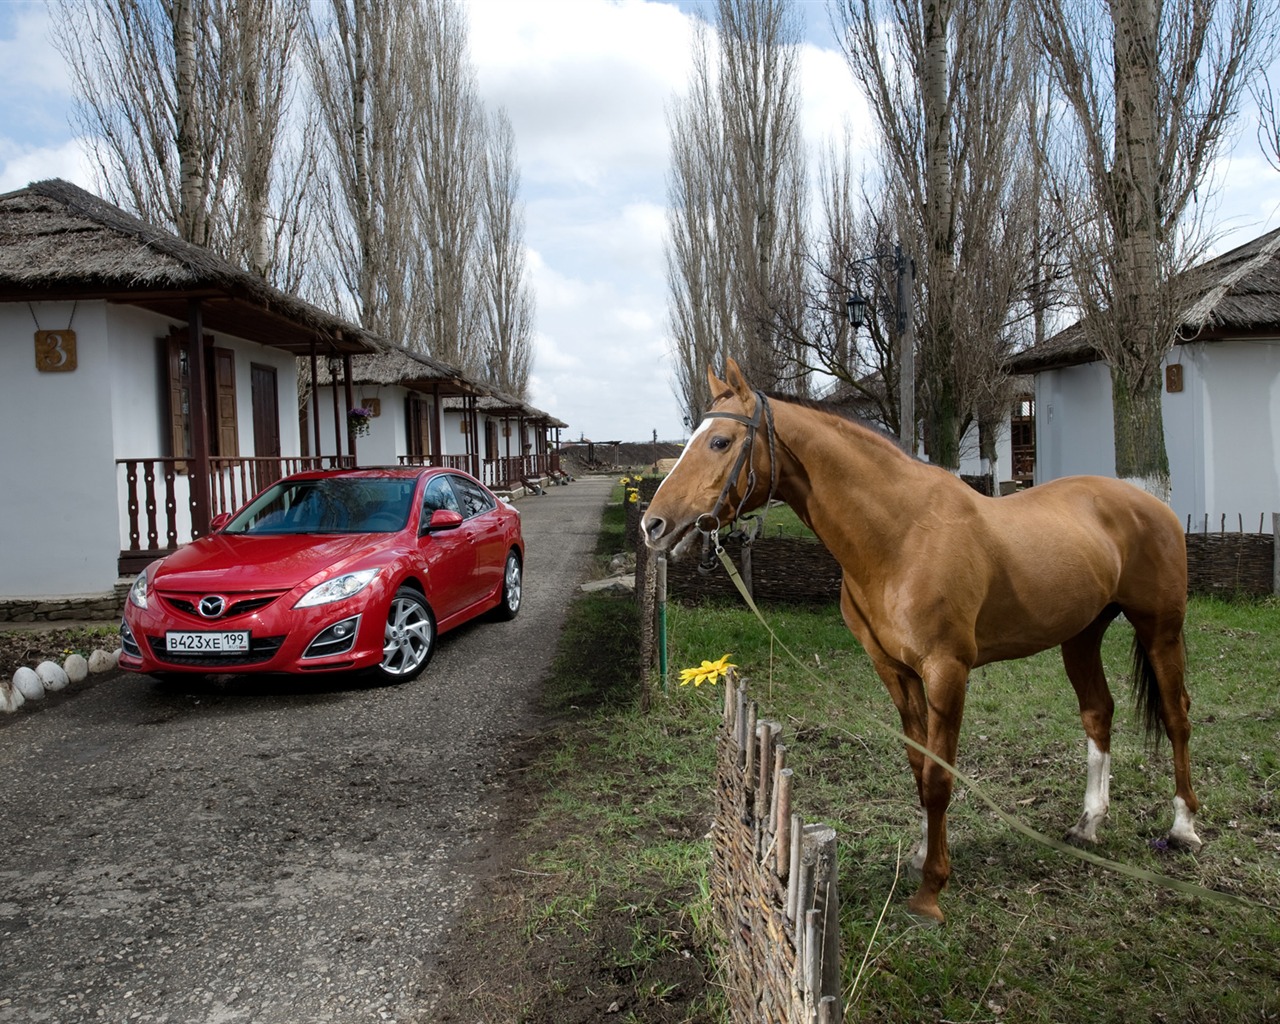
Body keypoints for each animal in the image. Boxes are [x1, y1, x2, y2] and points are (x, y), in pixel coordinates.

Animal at [645, 363, 1203, 921]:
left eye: (720, 441)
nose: (654, 524)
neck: (903, 535)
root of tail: (1149, 503)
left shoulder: (946, 670)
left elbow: (938, 777)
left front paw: (932, 889)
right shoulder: (895, 671)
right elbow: (918, 764)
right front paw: (919, 854)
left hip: (1160, 628)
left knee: (1177, 716)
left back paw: (1182, 828)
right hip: (1081, 635)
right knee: (1097, 712)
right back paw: (1089, 823)